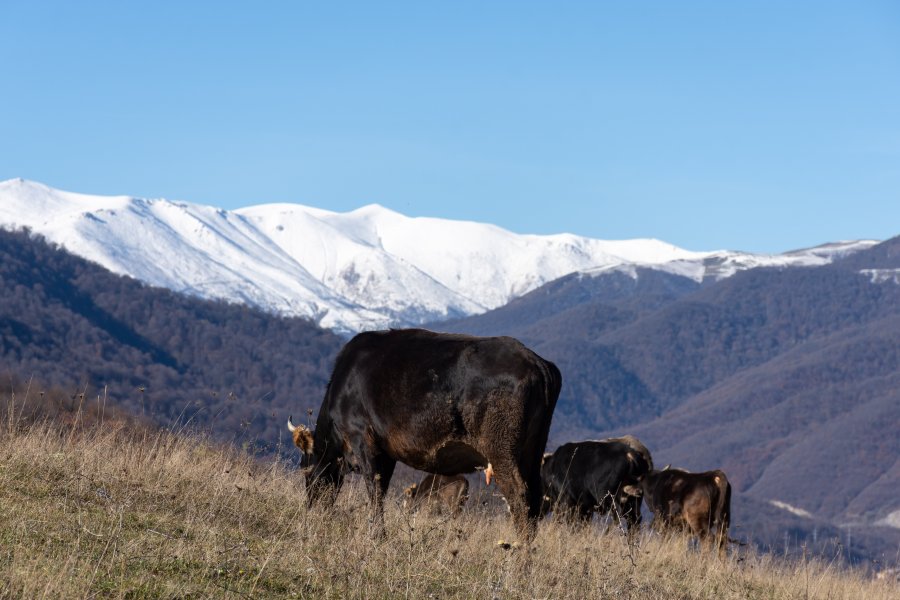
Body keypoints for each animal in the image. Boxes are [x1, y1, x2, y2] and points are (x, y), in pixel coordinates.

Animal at [288, 328, 560, 540]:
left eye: (305, 468)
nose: (311, 508)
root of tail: (535, 361)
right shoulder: (387, 452)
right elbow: (382, 489)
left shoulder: (363, 439)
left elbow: (374, 490)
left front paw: (376, 536)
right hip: (532, 450)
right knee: (534, 500)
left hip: (502, 450)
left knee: (519, 497)